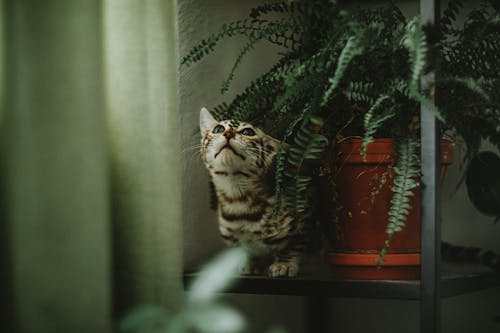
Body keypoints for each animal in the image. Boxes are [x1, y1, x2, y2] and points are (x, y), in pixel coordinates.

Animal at [198, 107, 306, 276]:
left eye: (248, 132)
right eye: (219, 129)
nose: (228, 134)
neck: (238, 201)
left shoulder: (302, 222)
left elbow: (292, 246)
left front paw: (284, 263)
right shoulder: (230, 235)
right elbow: (242, 250)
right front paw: (248, 262)